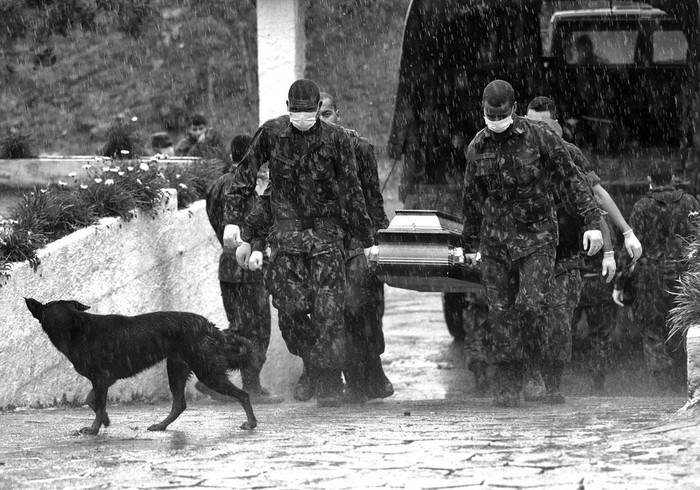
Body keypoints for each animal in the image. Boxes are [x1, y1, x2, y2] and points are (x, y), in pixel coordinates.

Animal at [25, 296, 260, 434]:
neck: (76, 327)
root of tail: (209, 326)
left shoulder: (101, 379)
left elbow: (97, 404)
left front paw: (93, 429)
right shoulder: (104, 380)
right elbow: (92, 401)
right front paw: (106, 420)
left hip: (207, 372)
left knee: (243, 395)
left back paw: (251, 423)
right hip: (176, 369)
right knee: (179, 404)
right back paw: (161, 426)